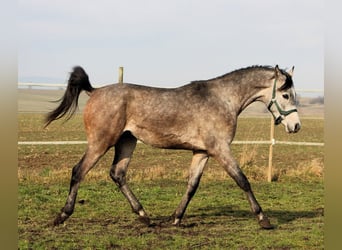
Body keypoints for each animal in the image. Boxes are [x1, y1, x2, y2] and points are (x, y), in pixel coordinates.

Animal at [44, 64, 300, 229]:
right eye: (286, 95)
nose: (296, 126)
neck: (223, 99)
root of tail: (95, 91)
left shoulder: (202, 152)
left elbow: (192, 185)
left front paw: (176, 218)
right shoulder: (221, 149)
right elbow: (242, 180)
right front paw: (264, 219)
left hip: (127, 142)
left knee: (117, 173)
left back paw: (144, 216)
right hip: (101, 142)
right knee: (78, 171)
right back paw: (62, 216)